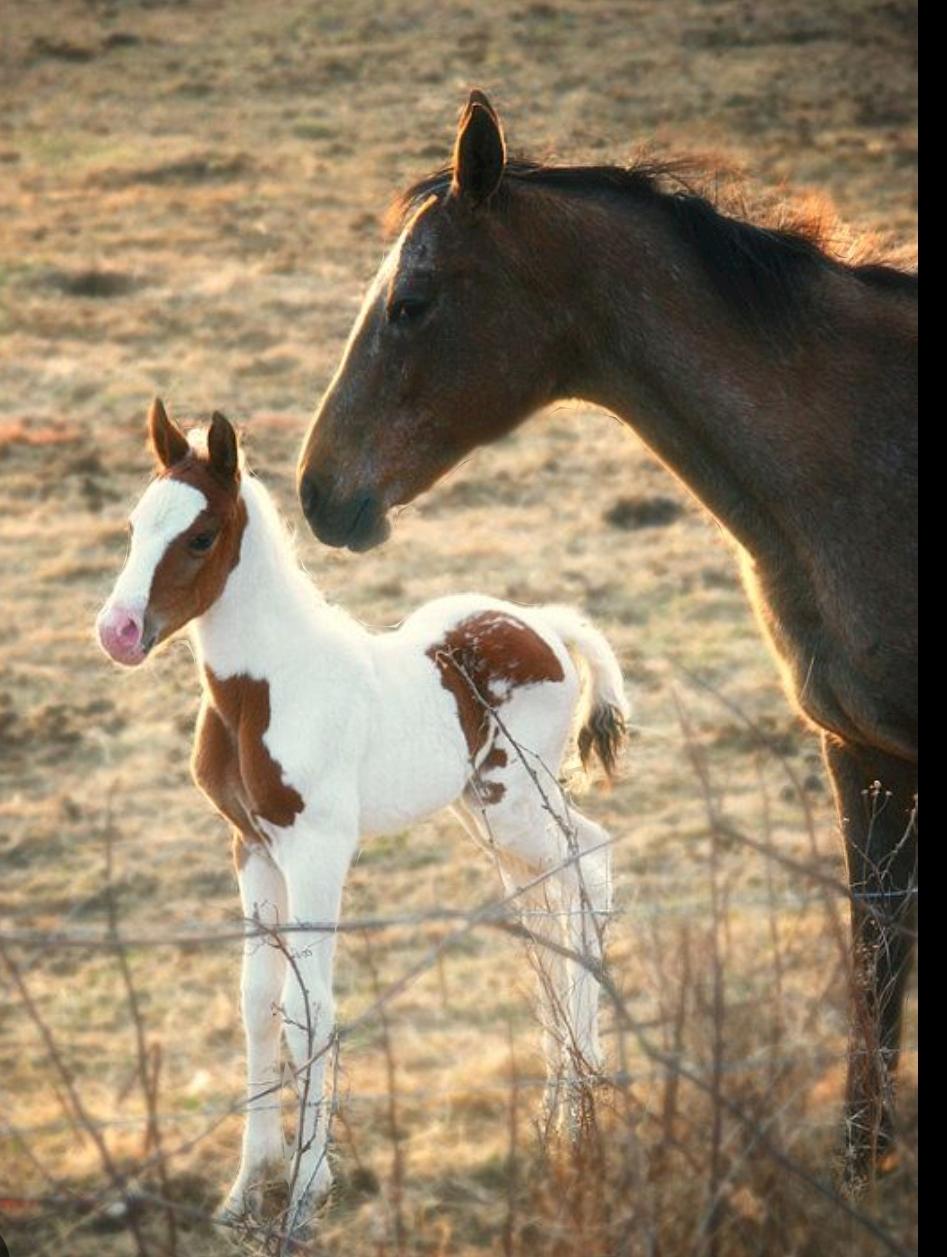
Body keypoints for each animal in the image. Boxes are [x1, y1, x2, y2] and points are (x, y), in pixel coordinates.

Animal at [96, 398, 629, 1231]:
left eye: (200, 535)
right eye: (132, 524)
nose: (117, 632)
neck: (265, 686)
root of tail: (543, 624)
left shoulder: (316, 851)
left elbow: (307, 1005)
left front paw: (304, 1192)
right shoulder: (251, 847)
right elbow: (256, 1002)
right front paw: (245, 1187)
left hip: (516, 804)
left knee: (591, 865)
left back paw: (578, 1102)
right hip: (486, 818)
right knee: (545, 917)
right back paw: (559, 1102)